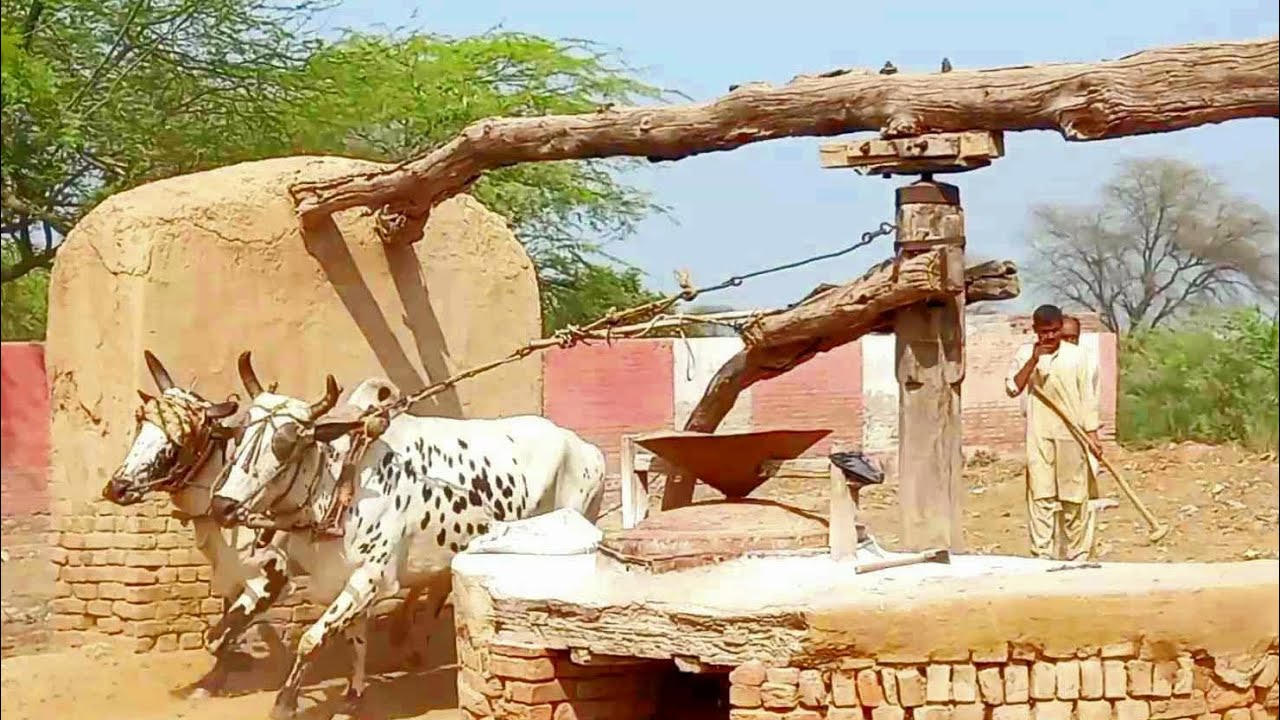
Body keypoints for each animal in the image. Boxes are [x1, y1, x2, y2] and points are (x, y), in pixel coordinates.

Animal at [208, 352, 607, 720]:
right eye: (241, 433)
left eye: (287, 443)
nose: (222, 506)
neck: (341, 480)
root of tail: (586, 448)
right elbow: (350, 637)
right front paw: (353, 695)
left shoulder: (372, 576)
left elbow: (313, 639)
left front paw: (286, 702)